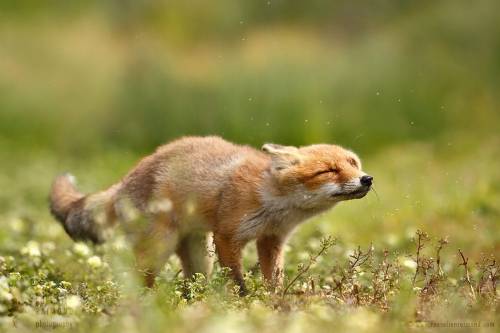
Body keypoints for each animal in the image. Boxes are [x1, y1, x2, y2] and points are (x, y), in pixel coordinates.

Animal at [49, 136, 372, 294]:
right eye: (329, 170)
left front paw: (275, 302)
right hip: (159, 250)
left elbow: (273, 279)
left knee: (193, 285)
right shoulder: (227, 234)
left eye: (354, 163)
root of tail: (125, 181)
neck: (270, 199)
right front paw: (246, 302)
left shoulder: (271, 238)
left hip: (198, 256)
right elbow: (238, 280)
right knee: (139, 280)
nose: (367, 179)